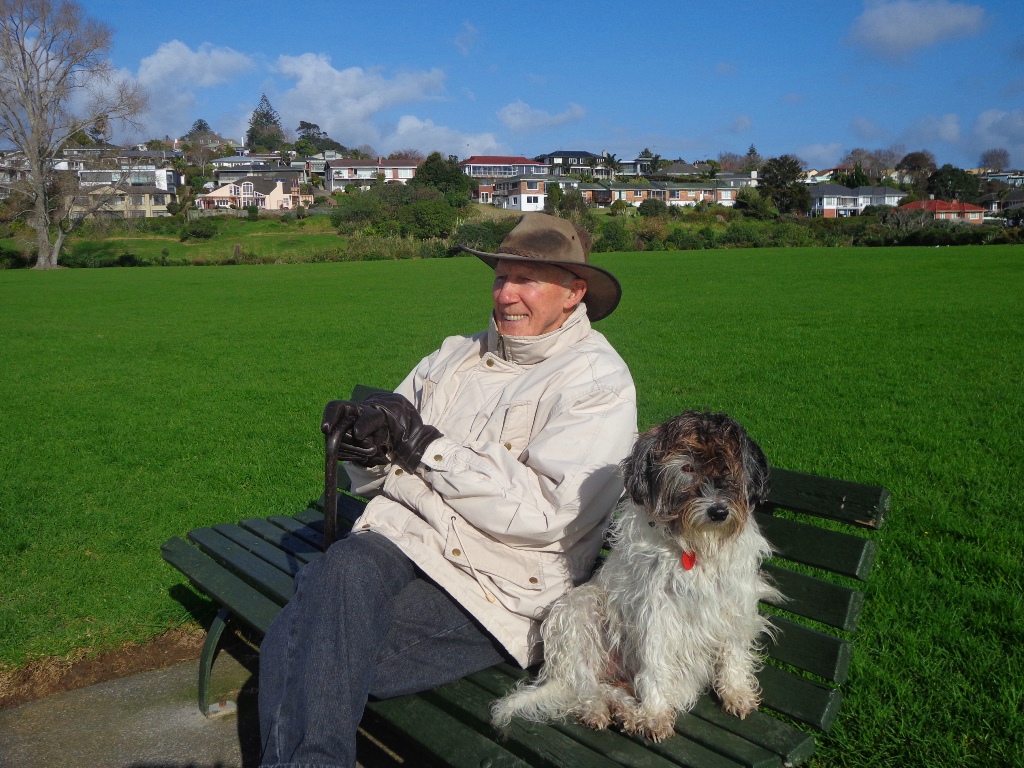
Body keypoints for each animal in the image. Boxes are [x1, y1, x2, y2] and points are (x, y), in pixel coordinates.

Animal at [491, 411, 778, 741]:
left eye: (729, 468)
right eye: (687, 468)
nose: (718, 511)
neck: (695, 546)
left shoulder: (736, 601)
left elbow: (734, 650)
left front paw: (736, 691)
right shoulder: (656, 611)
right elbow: (654, 664)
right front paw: (654, 714)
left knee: (618, 688)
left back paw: (625, 710)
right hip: (578, 610)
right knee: (586, 685)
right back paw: (599, 709)